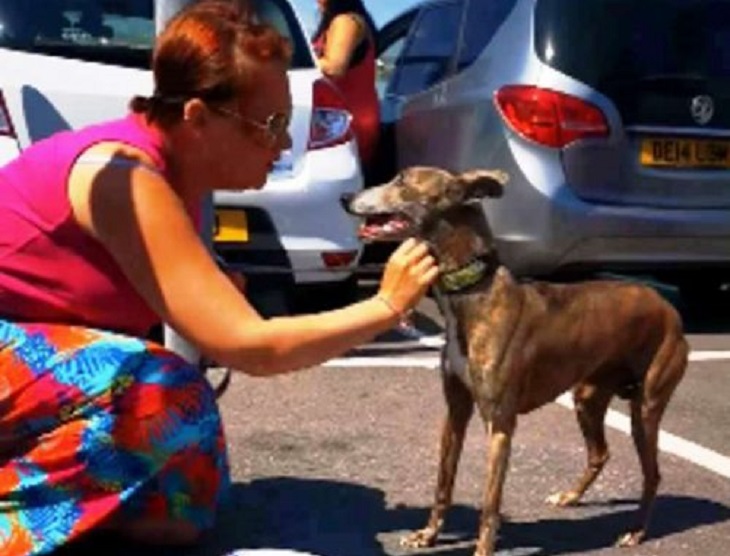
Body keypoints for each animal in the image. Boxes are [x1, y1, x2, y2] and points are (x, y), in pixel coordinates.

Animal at [346, 167, 688, 556]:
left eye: (402, 181)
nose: (346, 198)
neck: (471, 294)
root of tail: (667, 308)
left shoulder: (500, 424)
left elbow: (490, 503)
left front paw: (482, 550)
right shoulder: (456, 412)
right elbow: (443, 483)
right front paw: (427, 535)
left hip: (645, 411)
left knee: (652, 473)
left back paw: (636, 531)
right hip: (587, 397)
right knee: (599, 453)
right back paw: (570, 497)